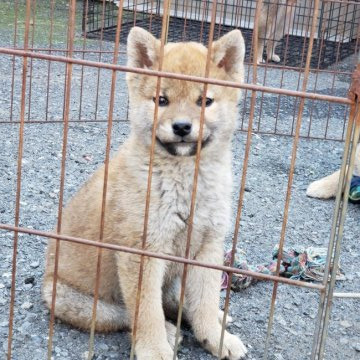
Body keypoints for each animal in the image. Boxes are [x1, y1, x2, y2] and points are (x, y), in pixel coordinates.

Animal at [42, 26, 248, 358]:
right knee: (126, 314)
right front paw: (155, 348)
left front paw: (215, 337)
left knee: (178, 299)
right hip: (79, 301)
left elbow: (204, 301)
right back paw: (169, 331)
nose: (181, 127)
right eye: (161, 100)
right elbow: (146, 311)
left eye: (204, 101)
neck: (185, 181)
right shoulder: (141, 253)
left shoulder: (208, 247)